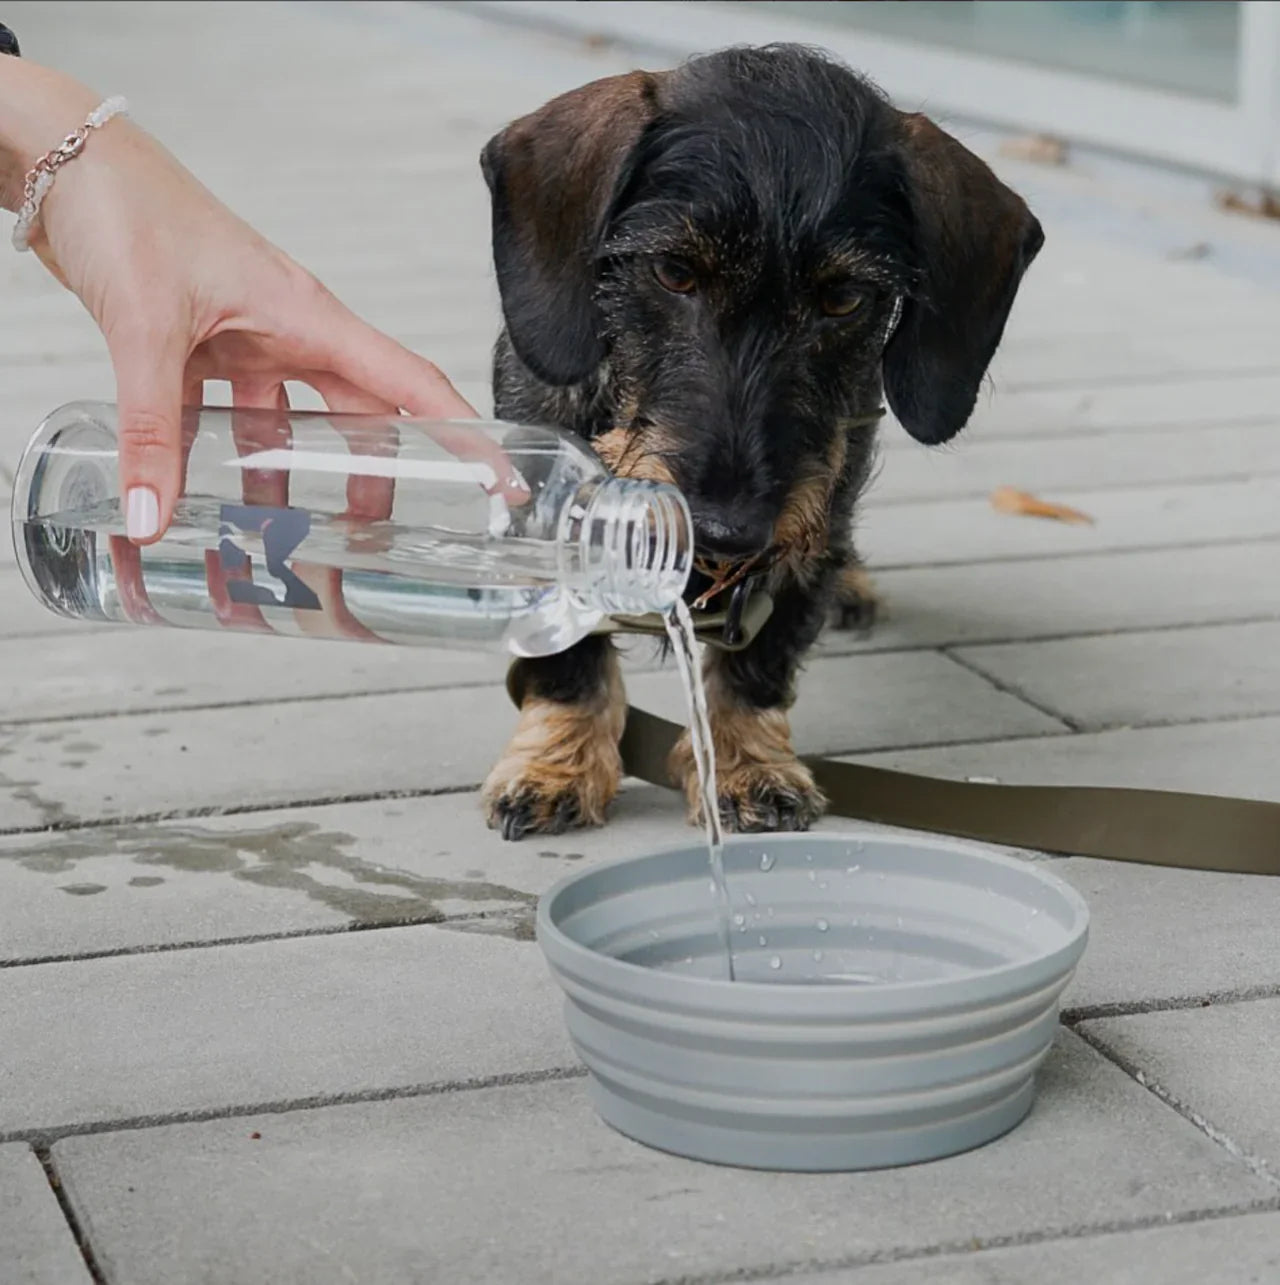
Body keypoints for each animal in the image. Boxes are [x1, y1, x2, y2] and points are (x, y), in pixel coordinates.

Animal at [475, 42, 1043, 842]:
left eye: (843, 298)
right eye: (673, 271)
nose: (725, 530)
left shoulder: (806, 521)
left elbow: (762, 659)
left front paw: (745, 765)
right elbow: (567, 656)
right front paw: (556, 764)